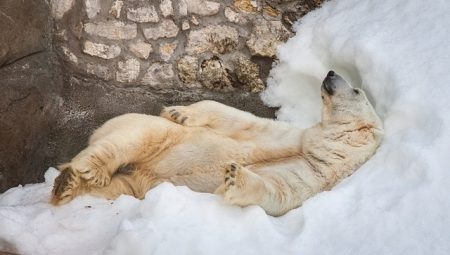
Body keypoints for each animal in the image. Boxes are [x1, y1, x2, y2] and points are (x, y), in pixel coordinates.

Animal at [51, 70, 384, 216]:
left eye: (356, 90)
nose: (330, 72)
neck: (322, 150)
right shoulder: (293, 137)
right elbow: (238, 119)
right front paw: (180, 112)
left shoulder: (313, 179)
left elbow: (276, 194)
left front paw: (235, 177)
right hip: (149, 134)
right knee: (134, 138)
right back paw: (85, 171)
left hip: (139, 185)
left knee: (117, 187)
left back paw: (68, 185)